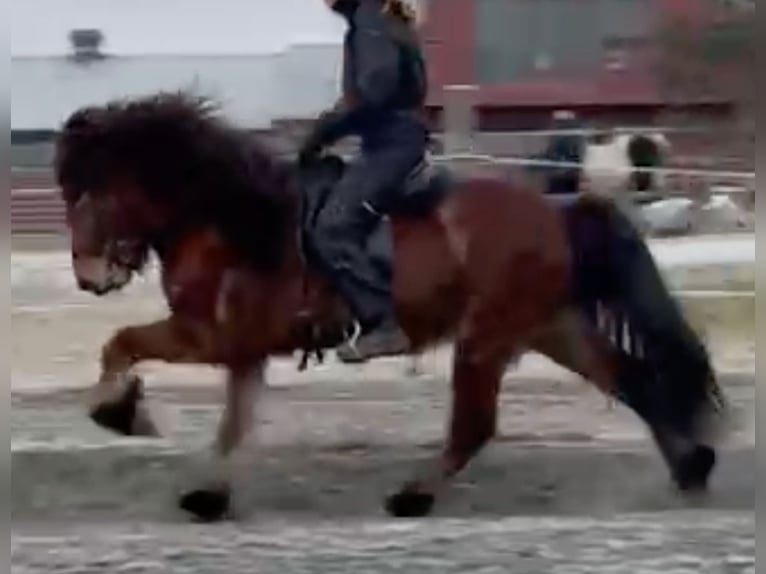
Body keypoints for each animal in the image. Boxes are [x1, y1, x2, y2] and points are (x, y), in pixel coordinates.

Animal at [54, 92, 727, 522]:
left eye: (89, 193)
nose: (88, 277)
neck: (233, 221)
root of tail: (557, 209)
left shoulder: (208, 337)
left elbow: (122, 341)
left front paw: (121, 414)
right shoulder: (245, 352)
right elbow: (233, 426)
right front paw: (208, 499)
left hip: (486, 338)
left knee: (475, 426)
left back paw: (411, 497)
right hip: (546, 326)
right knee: (630, 377)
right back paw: (693, 469)